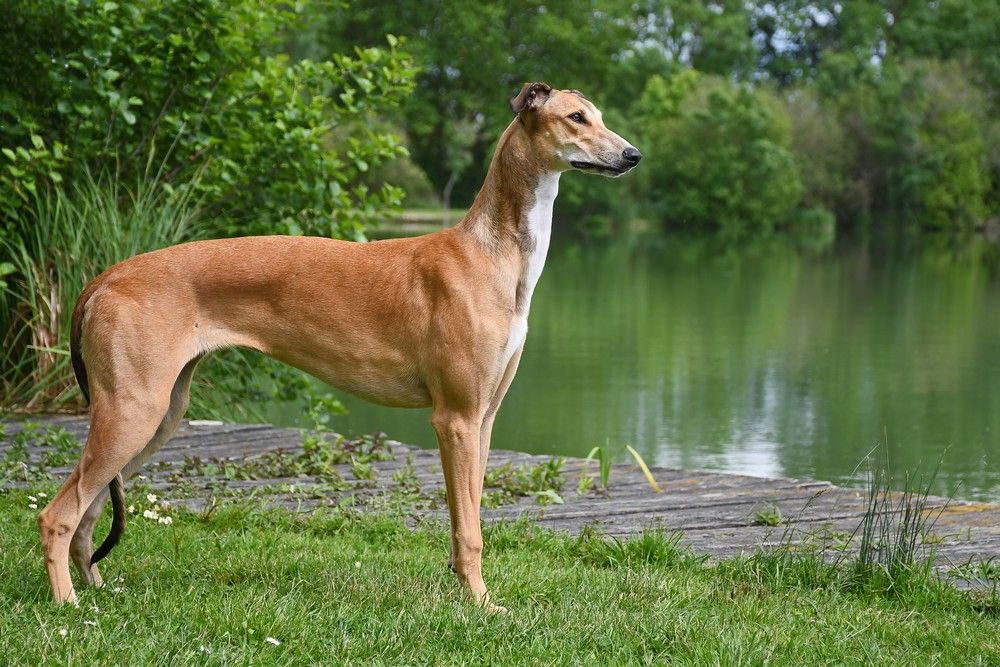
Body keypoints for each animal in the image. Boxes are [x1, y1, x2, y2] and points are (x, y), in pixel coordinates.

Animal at [39, 82, 640, 612]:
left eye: (600, 115)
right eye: (576, 118)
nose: (633, 156)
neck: (491, 255)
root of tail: (105, 278)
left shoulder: (484, 418)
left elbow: (466, 518)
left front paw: (466, 595)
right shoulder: (455, 418)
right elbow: (468, 530)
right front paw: (483, 606)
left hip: (159, 415)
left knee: (87, 513)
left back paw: (98, 592)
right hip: (132, 410)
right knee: (58, 514)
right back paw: (68, 607)